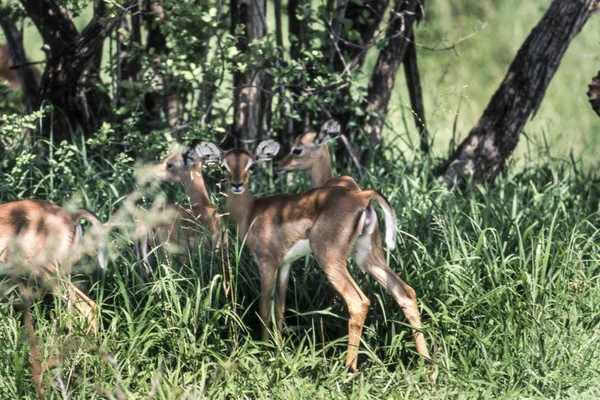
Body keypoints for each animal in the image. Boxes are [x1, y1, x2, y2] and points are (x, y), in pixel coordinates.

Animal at [197, 140, 432, 368]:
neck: (251, 211)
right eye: (224, 166)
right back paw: (427, 364)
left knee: (359, 302)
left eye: (252, 165)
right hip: (367, 257)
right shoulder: (285, 264)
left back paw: (348, 369)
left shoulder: (266, 263)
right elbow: (279, 308)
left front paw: (264, 351)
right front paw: (278, 349)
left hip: (330, 260)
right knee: (405, 292)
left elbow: (264, 307)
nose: (237, 185)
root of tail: (361, 195)